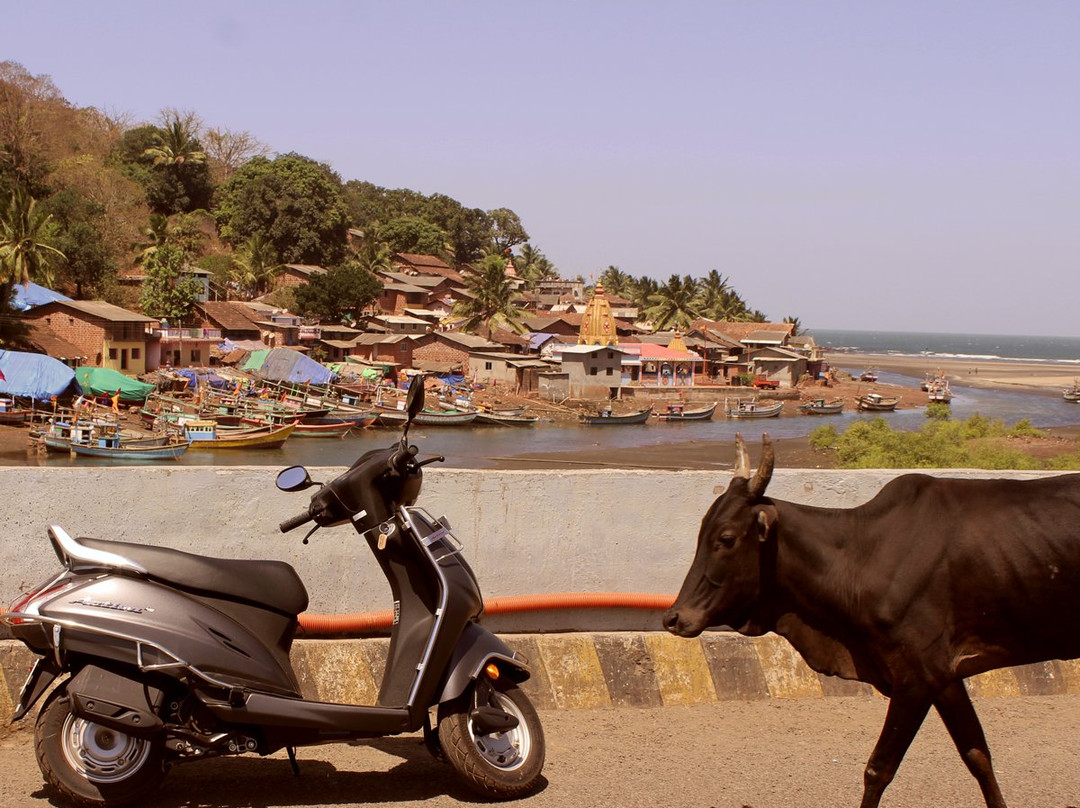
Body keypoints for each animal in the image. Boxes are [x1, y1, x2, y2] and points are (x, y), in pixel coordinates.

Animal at [660, 436, 1080, 808]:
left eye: (726, 538)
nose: (674, 617)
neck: (861, 556)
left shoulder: (916, 677)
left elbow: (879, 769)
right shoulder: (944, 677)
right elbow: (977, 755)